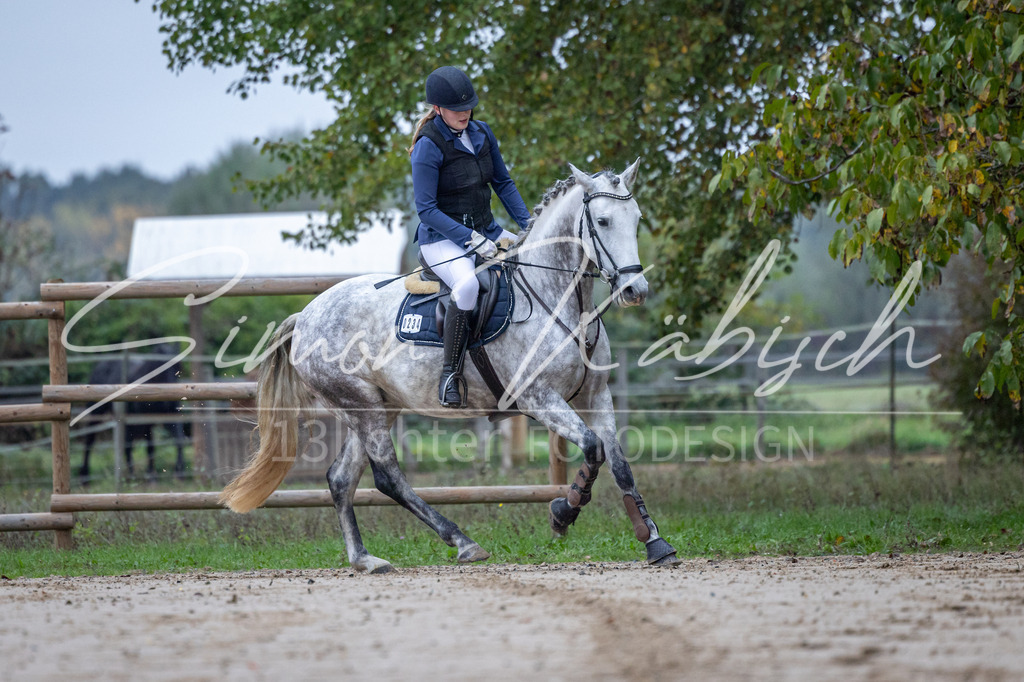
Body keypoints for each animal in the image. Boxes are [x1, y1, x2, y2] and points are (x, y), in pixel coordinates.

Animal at [79, 343, 188, 484]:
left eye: (178, 366)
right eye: (161, 366)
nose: (172, 399)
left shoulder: (170, 417)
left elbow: (179, 440)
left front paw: (179, 473)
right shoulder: (145, 421)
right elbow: (150, 447)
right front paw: (151, 476)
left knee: (127, 446)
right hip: (97, 413)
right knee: (90, 440)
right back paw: (85, 476)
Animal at [220, 159, 681, 572]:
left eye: (637, 220)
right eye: (602, 221)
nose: (635, 290)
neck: (560, 299)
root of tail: (307, 315)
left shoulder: (596, 396)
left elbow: (619, 464)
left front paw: (654, 541)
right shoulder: (539, 398)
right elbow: (592, 447)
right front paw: (563, 512)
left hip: (376, 407)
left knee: (341, 478)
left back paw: (365, 559)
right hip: (363, 407)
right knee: (387, 477)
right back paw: (462, 542)